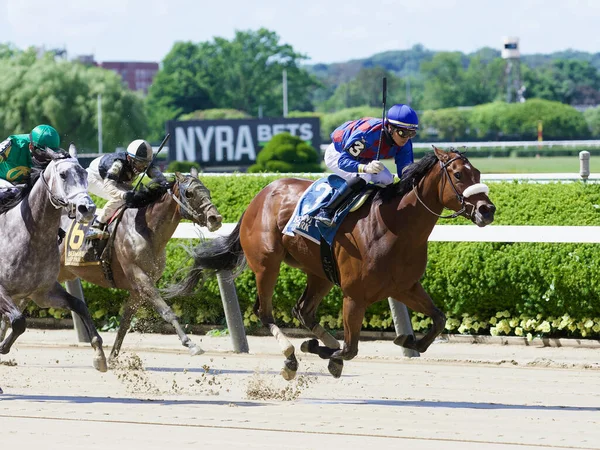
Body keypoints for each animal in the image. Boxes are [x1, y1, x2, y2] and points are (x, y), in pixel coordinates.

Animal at [0, 146, 108, 370]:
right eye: (63, 174)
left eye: (84, 173)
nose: (87, 208)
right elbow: (18, 321)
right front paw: (3, 346)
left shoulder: (42, 293)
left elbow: (79, 305)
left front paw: (99, 355)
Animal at [57, 171, 223, 360]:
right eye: (189, 193)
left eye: (207, 191)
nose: (215, 218)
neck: (146, 229)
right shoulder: (140, 277)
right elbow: (166, 311)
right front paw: (191, 344)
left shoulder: (138, 289)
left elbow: (125, 322)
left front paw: (113, 358)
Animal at [166, 146, 494, 378]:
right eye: (458, 175)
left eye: (478, 172)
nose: (487, 210)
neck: (395, 227)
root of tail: (259, 196)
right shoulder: (355, 295)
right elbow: (351, 350)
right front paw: (325, 354)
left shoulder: (404, 287)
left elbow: (438, 319)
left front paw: (407, 341)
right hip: (267, 264)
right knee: (265, 311)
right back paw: (291, 356)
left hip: (319, 272)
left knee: (302, 309)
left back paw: (319, 342)